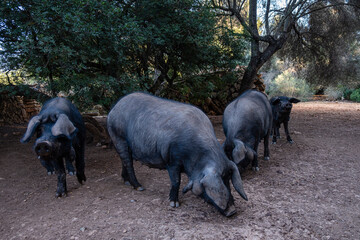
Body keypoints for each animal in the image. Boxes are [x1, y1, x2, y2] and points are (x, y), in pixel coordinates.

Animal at [107, 93, 248, 217]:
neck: (196, 155)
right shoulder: (172, 160)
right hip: (118, 137)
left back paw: (126, 182)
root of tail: (114, 109)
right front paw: (174, 204)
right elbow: (176, 181)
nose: (232, 211)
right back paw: (139, 187)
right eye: (221, 181)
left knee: (125, 160)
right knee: (128, 162)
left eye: (228, 181)